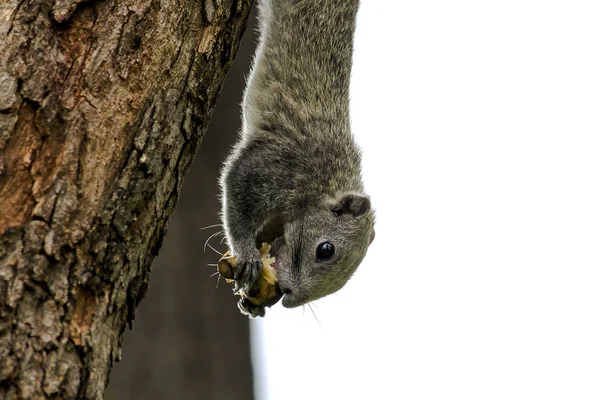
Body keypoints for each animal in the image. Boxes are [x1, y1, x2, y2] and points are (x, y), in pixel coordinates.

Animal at [218, 0, 372, 318]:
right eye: (326, 250)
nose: (288, 296)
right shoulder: (277, 166)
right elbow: (237, 188)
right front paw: (247, 254)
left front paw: (254, 302)